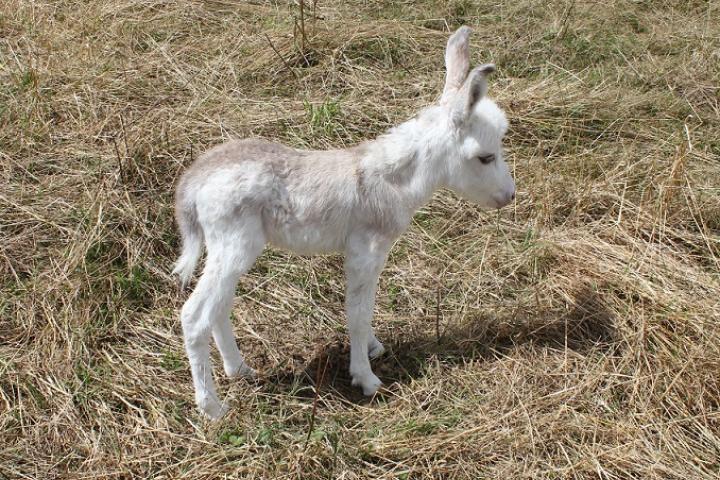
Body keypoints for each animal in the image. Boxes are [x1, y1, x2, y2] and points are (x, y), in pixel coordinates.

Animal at [172, 26, 516, 418]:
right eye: (485, 157)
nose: (510, 196)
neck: (394, 180)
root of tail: (193, 181)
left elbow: (362, 308)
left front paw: (372, 348)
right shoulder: (367, 250)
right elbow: (358, 312)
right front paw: (366, 378)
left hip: (230, 249)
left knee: (219, 307)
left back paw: (239, 370)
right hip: (234, 243)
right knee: (194, 315)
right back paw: (212, 408)